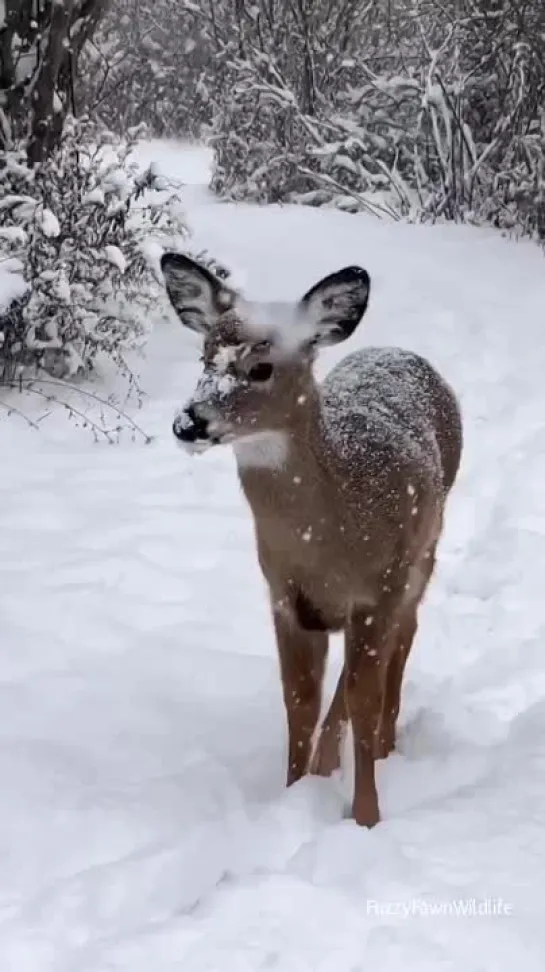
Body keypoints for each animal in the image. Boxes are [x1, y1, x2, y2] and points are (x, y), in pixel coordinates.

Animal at [159, 252, 462, 828]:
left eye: (260, 367)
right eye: (205, 357)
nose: (187, 423)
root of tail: (401, 352)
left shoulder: (379, 589)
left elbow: (363, 698)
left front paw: (366, 818)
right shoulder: (287, 597)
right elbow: (299, 700)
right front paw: (294, 795)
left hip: (424, 552)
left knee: (402, 643)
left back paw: (386, 747)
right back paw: (329, 761)